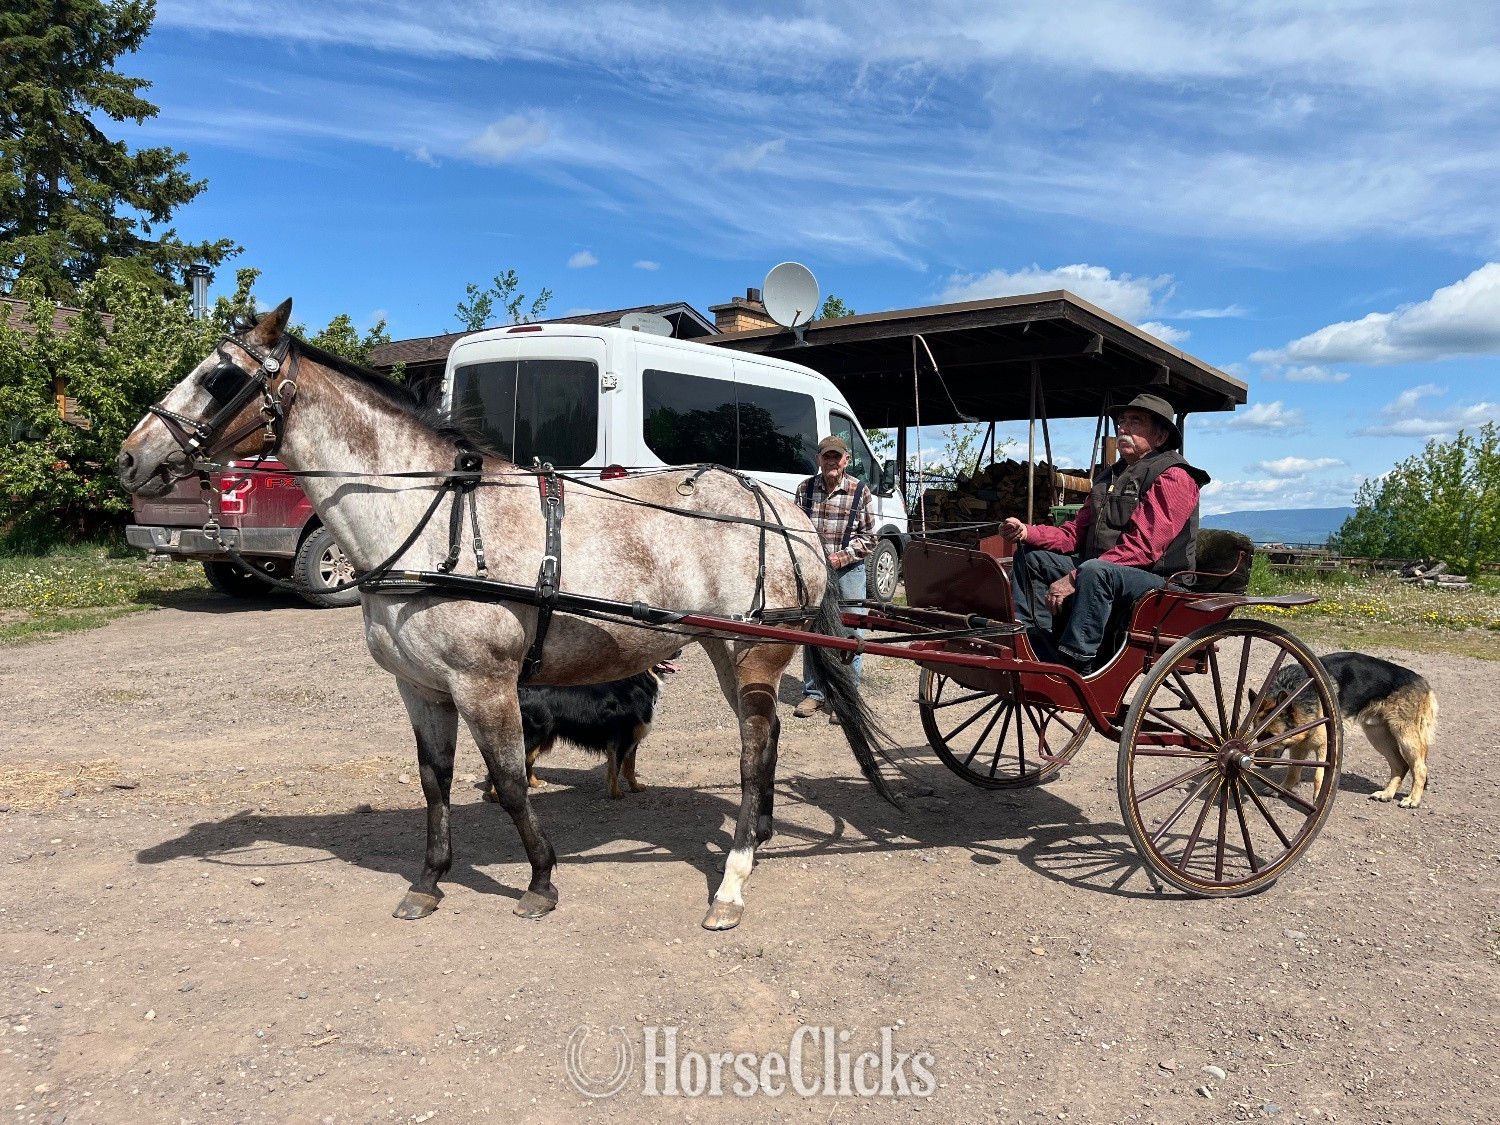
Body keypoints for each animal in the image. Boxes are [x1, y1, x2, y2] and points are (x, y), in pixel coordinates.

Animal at [116, 299, 890, 930]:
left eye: (218, 378)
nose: (129, 459)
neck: (434, 520)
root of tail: (786, 508)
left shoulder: (485, 684)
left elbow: (513, 781)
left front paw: (541, 881)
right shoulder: (421, 688)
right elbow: (435, 782)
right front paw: (429, 882)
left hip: (756, 651)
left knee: (754, 746)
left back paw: (732, 880)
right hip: (726, 649)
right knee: (765, 738)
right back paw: (759, 835)